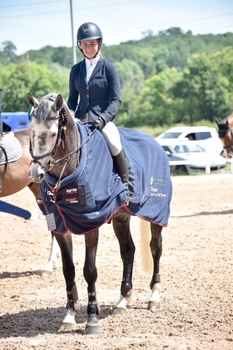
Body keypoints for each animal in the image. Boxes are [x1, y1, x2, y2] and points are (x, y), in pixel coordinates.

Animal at [26, 91, 173, 334]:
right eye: (31, 132)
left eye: (54, 133)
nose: (35, 173)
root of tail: (155, 142)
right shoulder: (59, 226)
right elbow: (69, 270)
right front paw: (69, 315)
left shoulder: (90, 223)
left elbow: (90, 270)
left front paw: (92, 318)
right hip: (121, 217)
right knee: (128, 250)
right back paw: (122, 300)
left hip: (156, 214)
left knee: (156, 248)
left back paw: (155, 296)